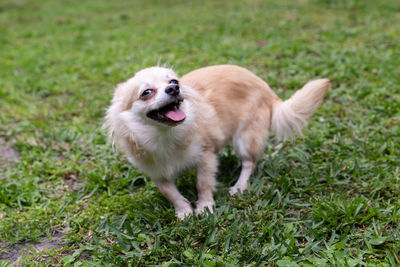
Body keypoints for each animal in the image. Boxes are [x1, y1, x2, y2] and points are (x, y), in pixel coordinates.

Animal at [104, 65, 330, 220]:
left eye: (174, 81)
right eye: (146, 93)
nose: (174, 88)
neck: (166, 137)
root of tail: (267, 88)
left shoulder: (206, 156)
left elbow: (203, 183)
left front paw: (204, 208)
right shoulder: (158, 174)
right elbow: (171, 193)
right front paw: (184, 211)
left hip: (245, 138)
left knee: (249, 163)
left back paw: (239, 186)